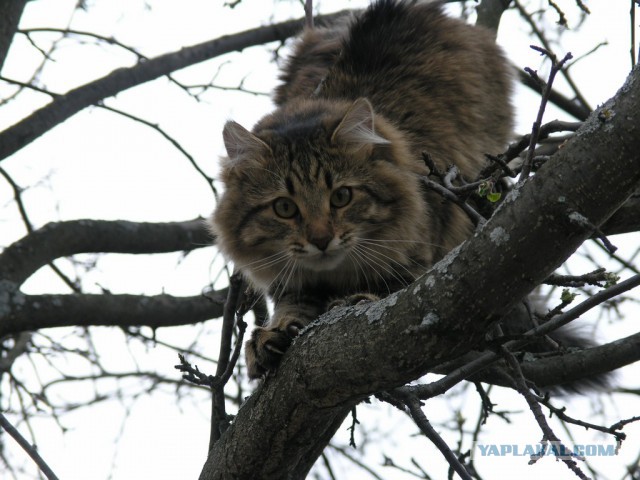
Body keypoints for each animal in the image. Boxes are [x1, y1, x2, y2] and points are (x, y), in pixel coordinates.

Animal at [212, 0, 512, 378]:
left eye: (342, 197)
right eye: (284, 208)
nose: (321, 240)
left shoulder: (422, 257)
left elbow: (393, 290)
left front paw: (361, 299)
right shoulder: (291, 284)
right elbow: (290, 306)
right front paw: (272, 335)